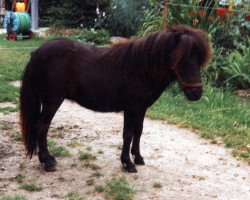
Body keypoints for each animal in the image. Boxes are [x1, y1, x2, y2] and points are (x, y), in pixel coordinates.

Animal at [20, 24, 211, 172]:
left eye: (199, 59)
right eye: (181, 58)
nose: (196, 93)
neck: (141, 68)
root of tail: (37, 53)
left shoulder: (141, 108)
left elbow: (138, 131)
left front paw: (138, 158)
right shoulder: (131, 107)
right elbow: (128, 134)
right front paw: (127, 163)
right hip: (52, 101)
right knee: (41, 126)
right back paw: (47, 161)